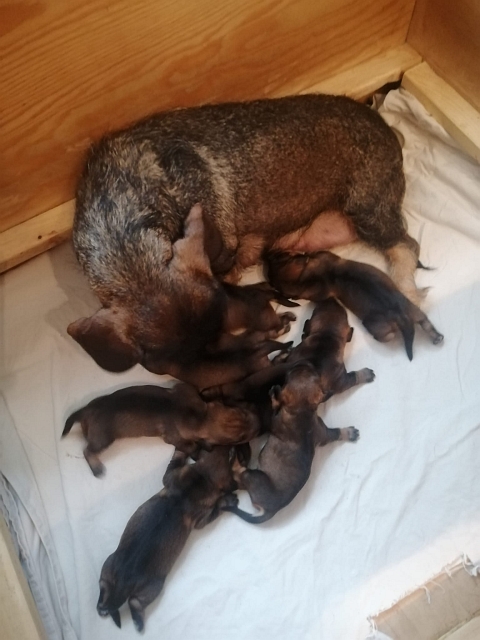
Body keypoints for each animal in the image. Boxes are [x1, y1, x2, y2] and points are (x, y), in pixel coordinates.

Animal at [62, 384, 263, 476]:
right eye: (238, 438)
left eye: (241, 413)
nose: (260, 423)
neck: (200, 416)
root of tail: (86, 410)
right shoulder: (174, 438)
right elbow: (191, 445)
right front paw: (198, 450)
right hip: (103, 438)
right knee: (87, 450)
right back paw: (96, 468)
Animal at [97, 447, 237, 631]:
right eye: (230, 456)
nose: (233, 447)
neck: (202, 477)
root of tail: (121, 585)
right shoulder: (202, 518)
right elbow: (217, 506)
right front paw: (228, 499)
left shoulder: (173, 477)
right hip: (153, 587)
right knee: (134, 602)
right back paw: (137, 622)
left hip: (108, 565)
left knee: (104, 586)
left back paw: (103, 607)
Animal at [223, 362, 359, 524]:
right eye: (314, 375)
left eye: (289, 377)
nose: (306, 363)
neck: (302, 409)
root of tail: (271, 511)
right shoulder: (323, 433)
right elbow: (336, 433)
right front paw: (349, 432)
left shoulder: (274, 420)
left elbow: (276, 405)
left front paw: (274, 395)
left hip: (256, 476)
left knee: (238, 474)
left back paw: (234, 456)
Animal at [267, 250, 444, 360]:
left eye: (281, 256)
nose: (269, 254)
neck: (306, 276)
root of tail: (401, 316)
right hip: (415, 311)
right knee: (426, 324)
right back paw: (437, 337)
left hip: (376, 326)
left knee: (389, 335)